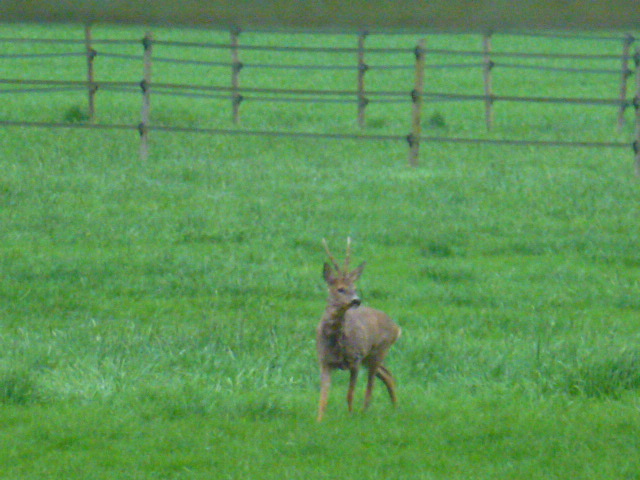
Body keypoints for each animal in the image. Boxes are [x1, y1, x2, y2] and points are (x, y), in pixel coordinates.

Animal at [316, 238, 400, 422]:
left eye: (354, 288)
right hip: (370, 357)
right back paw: (395, 408)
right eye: (340, 289)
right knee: (387, 374)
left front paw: (350, 416)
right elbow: (323, 397)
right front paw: (319, 420)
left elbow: (350, 394)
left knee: (371, 386)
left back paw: (364, 412)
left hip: (378, 351)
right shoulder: (324, 361)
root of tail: (397, 328)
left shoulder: (355, 359)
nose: (356, 300)